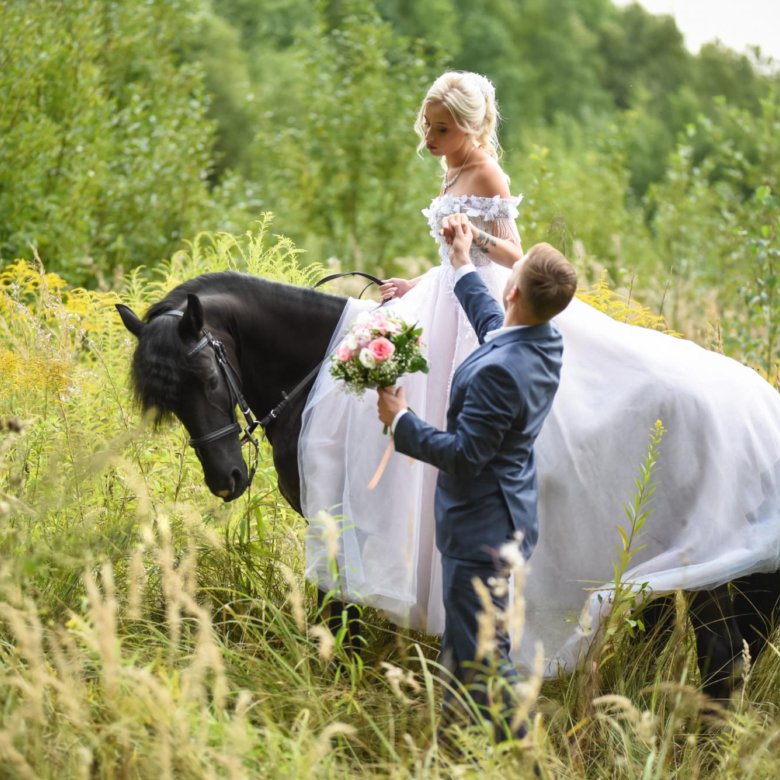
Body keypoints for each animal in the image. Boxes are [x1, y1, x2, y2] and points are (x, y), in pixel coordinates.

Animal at [117, 272, 780, 696]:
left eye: (207, 377)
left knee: (722, 662)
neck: (325, 372)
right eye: (170, 402)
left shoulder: (342, 520)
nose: (226, 478)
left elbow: (342, 610)